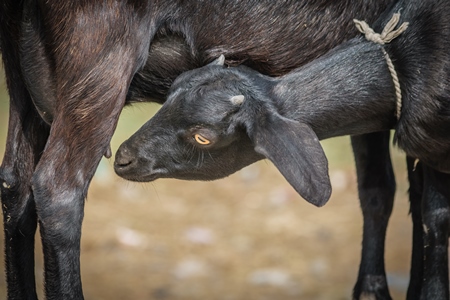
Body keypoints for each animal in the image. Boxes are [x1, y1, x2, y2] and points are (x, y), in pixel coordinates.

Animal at [0, 0, 394, 300]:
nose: (127, 157)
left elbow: (377, 190)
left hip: (23, 75)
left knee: (15, 186)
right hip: (99, 55)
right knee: (59, 190)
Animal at [115, 0, 450, 298]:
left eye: (203, 138)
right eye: (172, 91)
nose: (122, 158)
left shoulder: (434, 149)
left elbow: (432, 218)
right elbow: (387, 197)